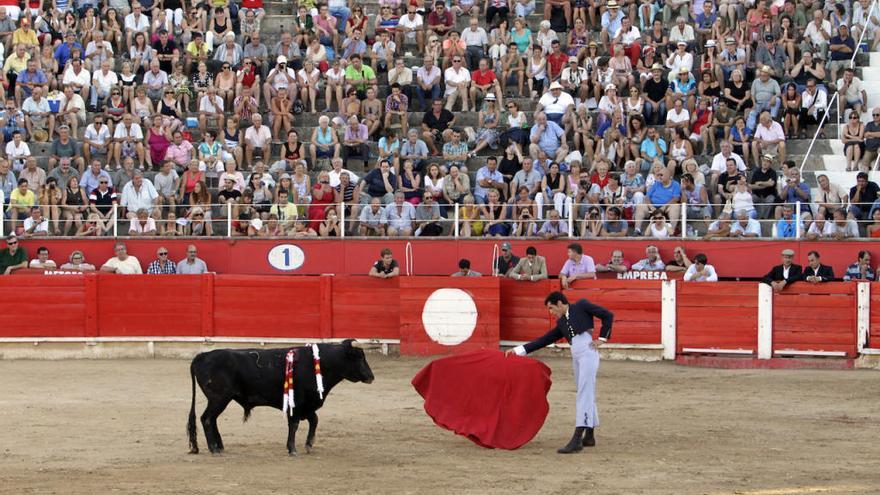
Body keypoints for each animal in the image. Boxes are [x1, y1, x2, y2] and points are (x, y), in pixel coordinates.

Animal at [187, 342, 372, 456]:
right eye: (359, 358)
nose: (371, 377)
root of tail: (201, 356)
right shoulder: (297, 404)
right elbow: (294, 424)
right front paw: (293, 449)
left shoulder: (307, 404)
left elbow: (314, 420)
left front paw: (309, 445)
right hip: (219, 398)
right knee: (207, 419)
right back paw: (214, 449)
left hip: (220, 399)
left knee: (212, 419)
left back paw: (220, 446)